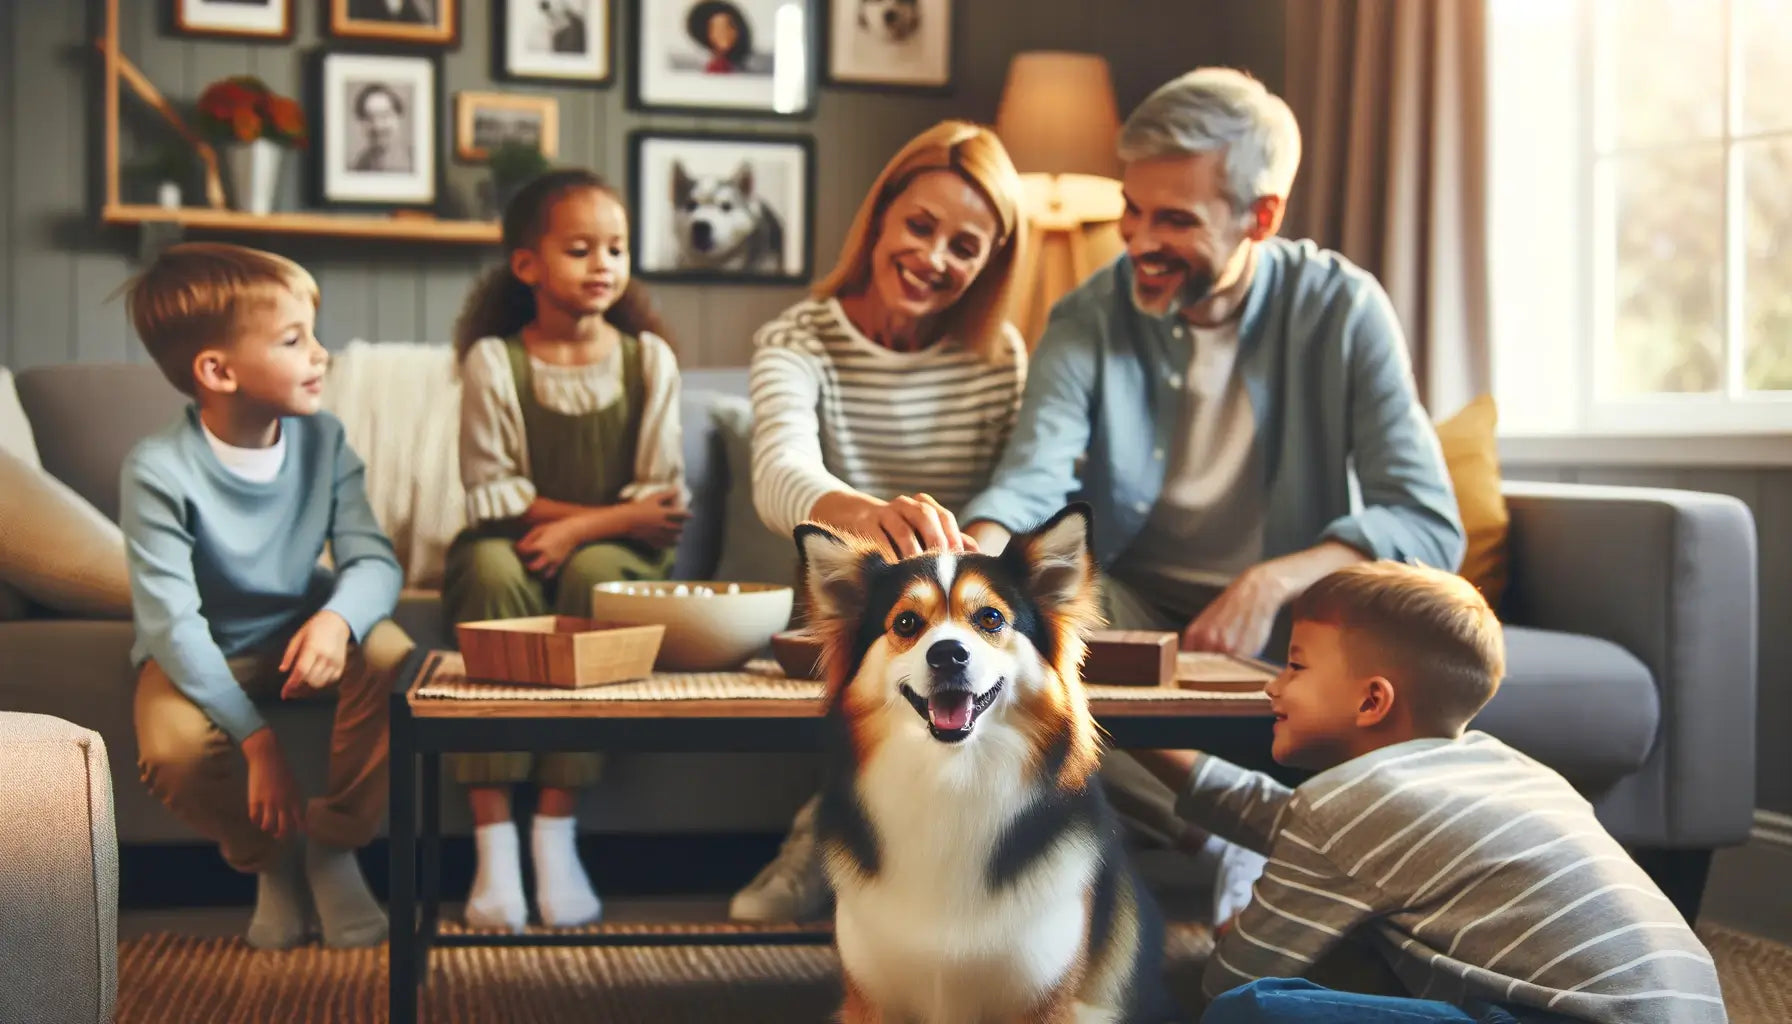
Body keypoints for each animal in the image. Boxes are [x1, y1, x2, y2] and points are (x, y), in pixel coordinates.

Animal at [799, 505, 1175, 1024]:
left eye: (990, 618)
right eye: (907, 622)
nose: (948, 654)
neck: (952, 778)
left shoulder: (1045, 996)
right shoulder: (873, 998)